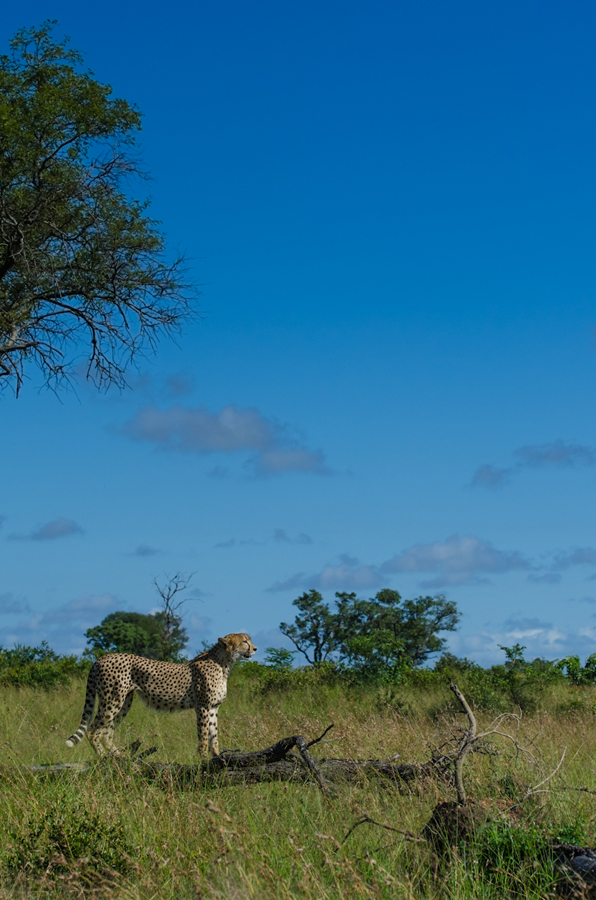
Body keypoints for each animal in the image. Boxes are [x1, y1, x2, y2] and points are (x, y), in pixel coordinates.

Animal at [65, 633, 256, 756]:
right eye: (245, 641)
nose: (255, 648)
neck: (223, 663)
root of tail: (101, 658)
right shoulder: (202, 706)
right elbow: (203, 735)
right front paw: (203, 760)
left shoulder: (213, 707)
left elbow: (213, 734)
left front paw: (217, 757)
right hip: (112, 700)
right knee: (93, 731)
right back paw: (104, 758)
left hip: (124, 702)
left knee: (106, 733)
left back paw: (119, 756)